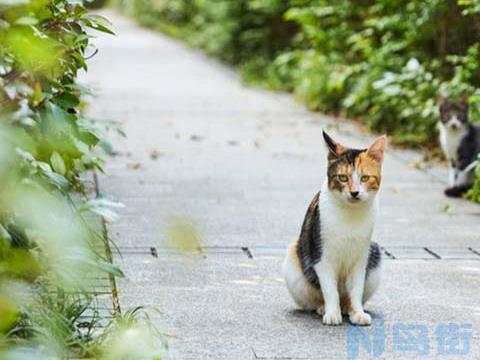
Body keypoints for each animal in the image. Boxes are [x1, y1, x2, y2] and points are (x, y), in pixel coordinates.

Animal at [284, 131, 384, 326]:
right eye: (343, 177)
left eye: (365, 178)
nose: (354, 193)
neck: (350, 214)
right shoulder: (322, 257)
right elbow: (330, 289)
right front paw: (332, 313)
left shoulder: (361, 259)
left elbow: (356, 289)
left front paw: (357, 312)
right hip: (294, 260)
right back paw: (323, 307)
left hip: (374, 253)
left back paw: (347, 308)